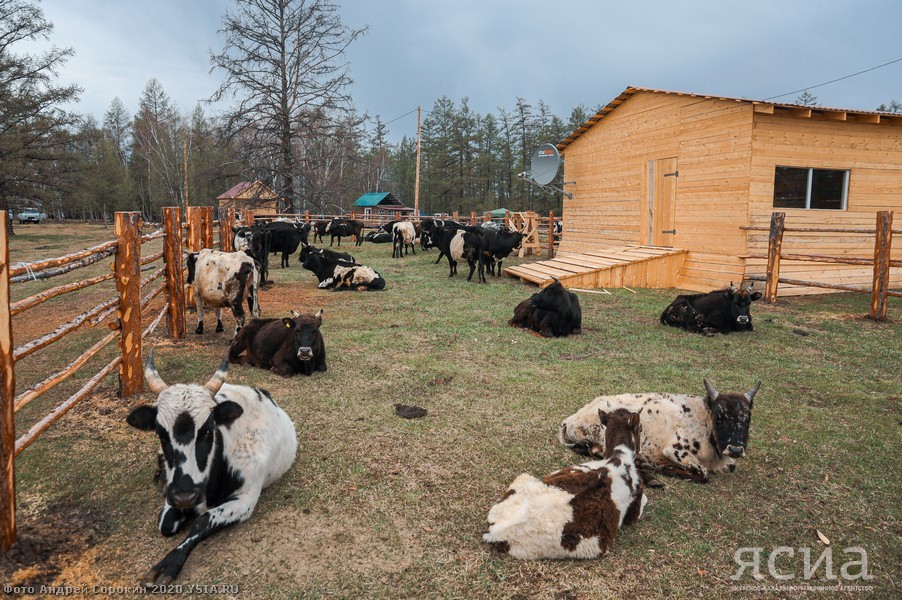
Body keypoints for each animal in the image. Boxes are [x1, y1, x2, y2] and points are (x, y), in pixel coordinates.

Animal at [125, 352, 296, 584]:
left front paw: (168, 564)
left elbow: (202, 522)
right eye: (160, 433)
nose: (185, 496)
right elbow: (166, 523)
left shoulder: (246, 499)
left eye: (207, 430)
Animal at [556, 382, 764, 486]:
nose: (736, 449)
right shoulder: (675, 450)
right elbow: (703, 474)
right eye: (720, 418)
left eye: (747, 419)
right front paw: (667, 469)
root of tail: (570, 419)